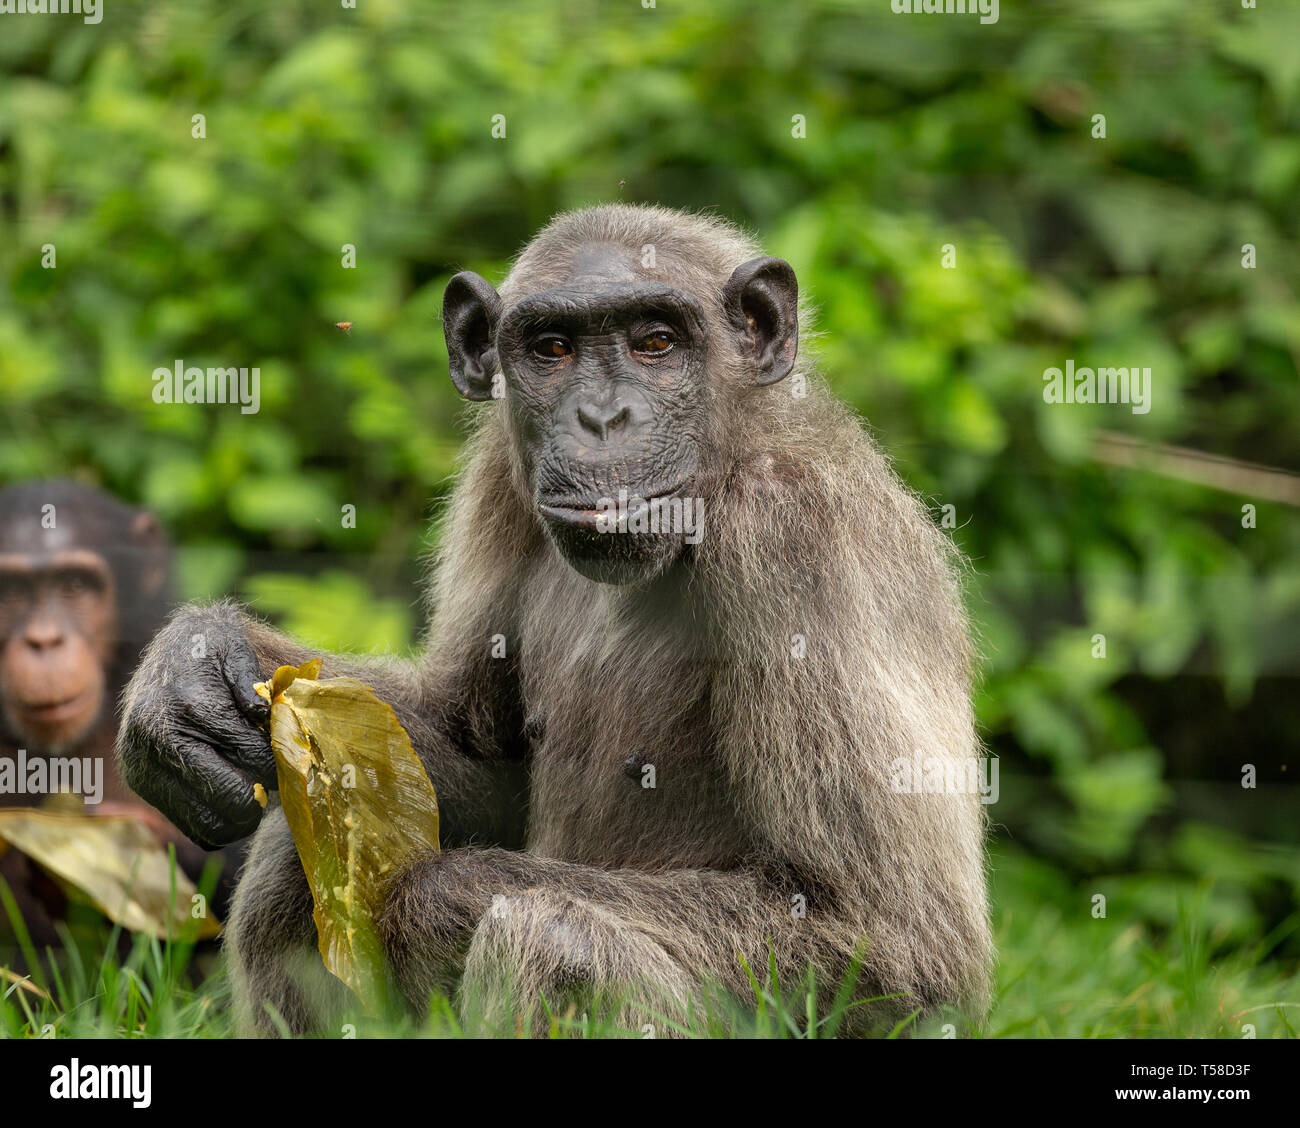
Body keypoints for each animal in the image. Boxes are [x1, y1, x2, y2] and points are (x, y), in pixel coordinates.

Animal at [124, 206, 993, 1034]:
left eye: (656, 342)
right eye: (552, 348)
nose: (603, 415)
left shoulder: (794, 535)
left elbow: (890, 933)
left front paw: (427, 897)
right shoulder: (496, 485)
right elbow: (474, 740)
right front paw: (197, 669)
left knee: (555, 941)